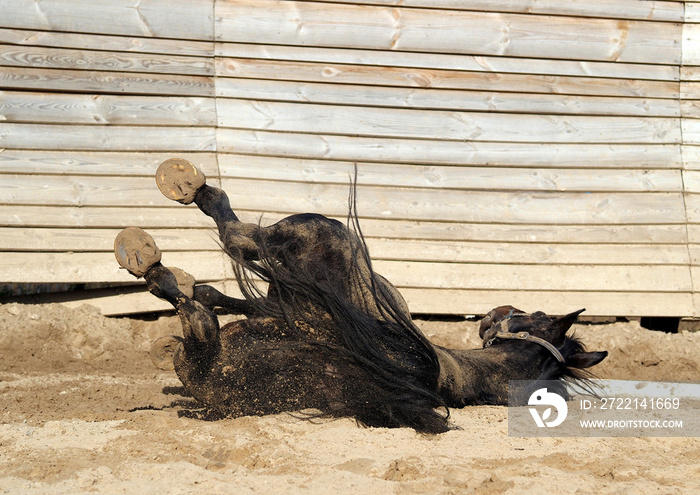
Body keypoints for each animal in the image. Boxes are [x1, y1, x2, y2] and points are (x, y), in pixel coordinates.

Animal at [115, 160, 608, 434]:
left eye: (534, 312)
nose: (495, 312)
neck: (468, 372)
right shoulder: (288, 306)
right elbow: (235, 298)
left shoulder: (306, 299)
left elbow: (237, 270)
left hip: (307, 248)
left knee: (222, 259)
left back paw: (159, 233)